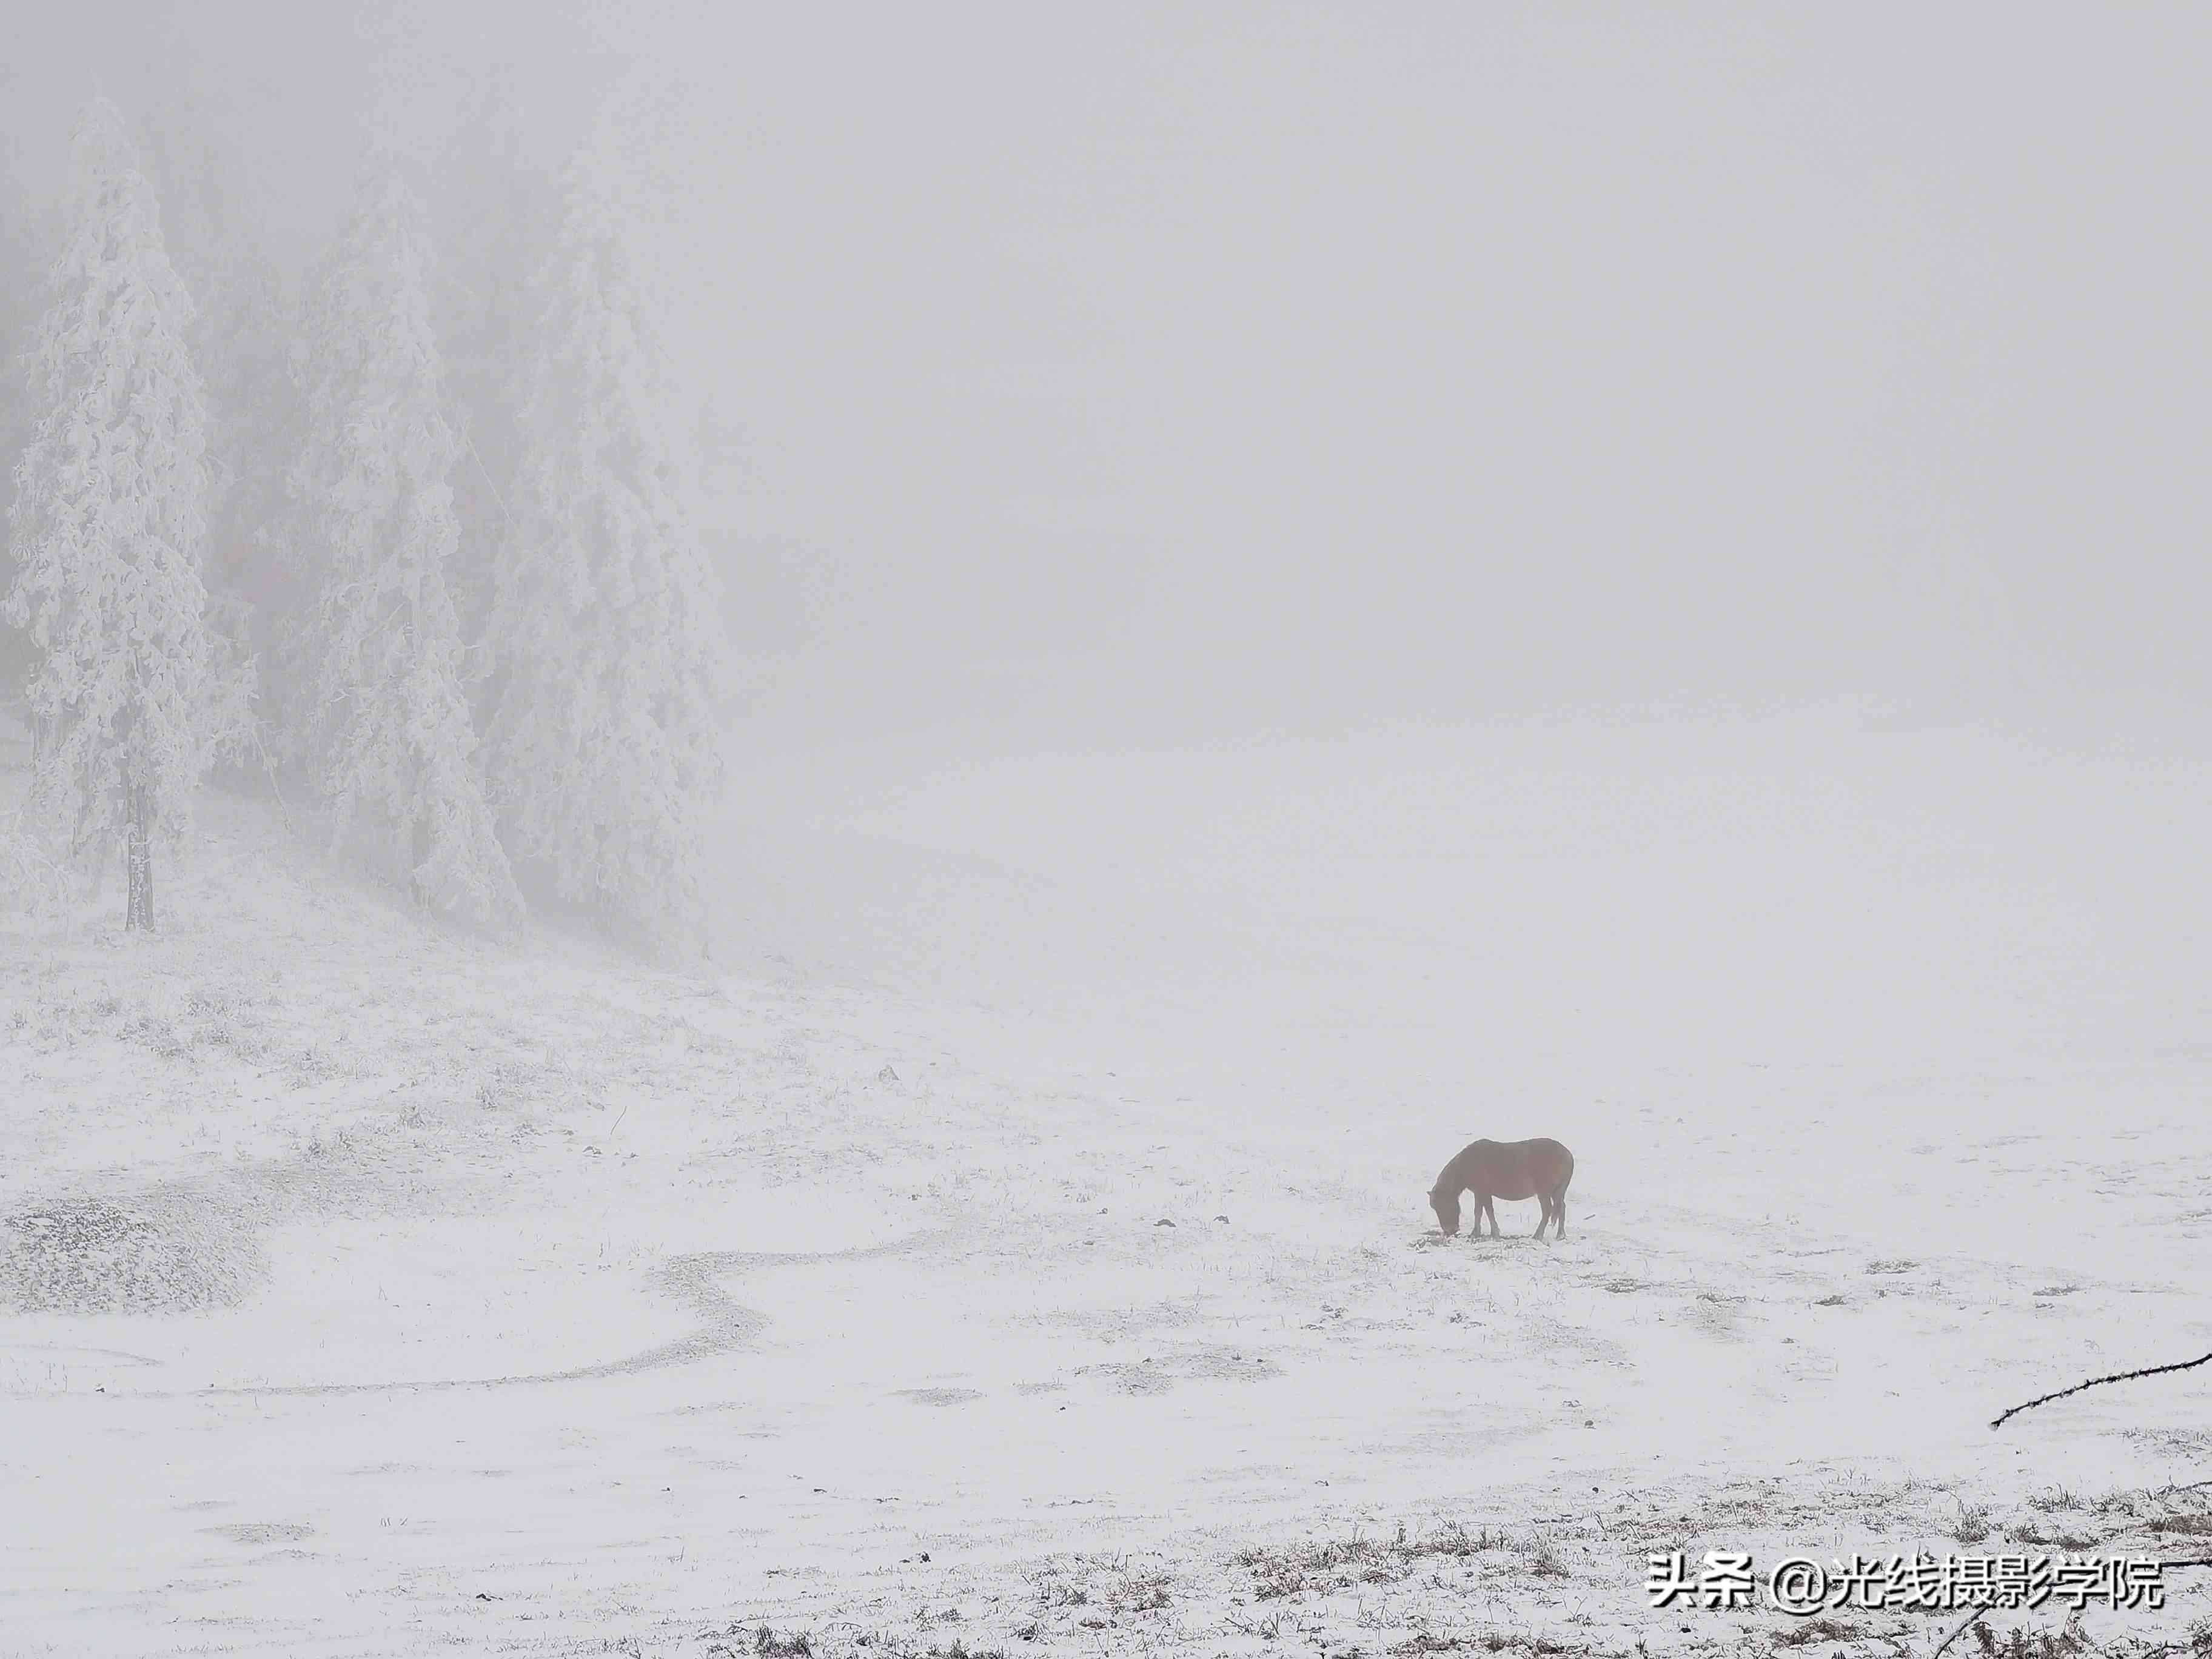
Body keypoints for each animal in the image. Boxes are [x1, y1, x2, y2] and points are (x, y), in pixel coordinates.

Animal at [1433, 1141, 1575, 1247]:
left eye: (1441, 1206)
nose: (1450, 1231)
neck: (1467, 1164)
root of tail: (1568, 1155)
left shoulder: (1483, 1192)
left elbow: (1487, 1212)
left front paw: (1493, 1234)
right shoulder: (1480, 1193)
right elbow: (1480, 1212)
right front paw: (1477, 1234)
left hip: (1544, 1192)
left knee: (1547, 1211)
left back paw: (1537, 1236)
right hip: (1558, 1191)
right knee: (1561, 1208)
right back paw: (1561, 1235)